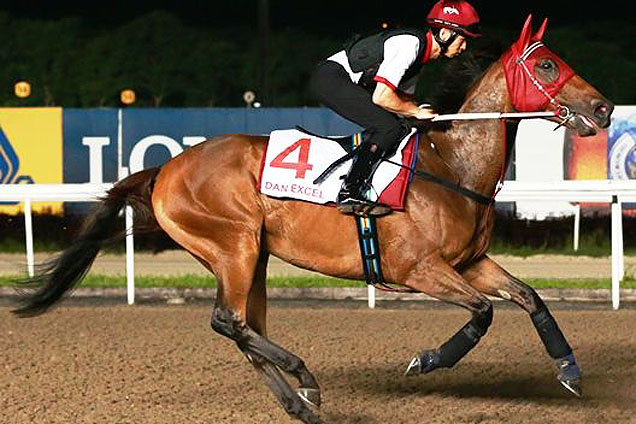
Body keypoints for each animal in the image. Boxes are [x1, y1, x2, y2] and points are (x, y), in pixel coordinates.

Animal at [13, 15, 612, 424]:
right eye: (547, 64)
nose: (604, 109)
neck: (451, 165)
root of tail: (165, 168)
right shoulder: (418, 270)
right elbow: (483, 313)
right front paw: (426, 360)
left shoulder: (472, 262)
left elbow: (530, 298)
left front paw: (569, 371)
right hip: (233, 244)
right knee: (228, 321)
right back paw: (304, 378)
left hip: (248, 255)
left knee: (244, 326)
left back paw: (300, 402)